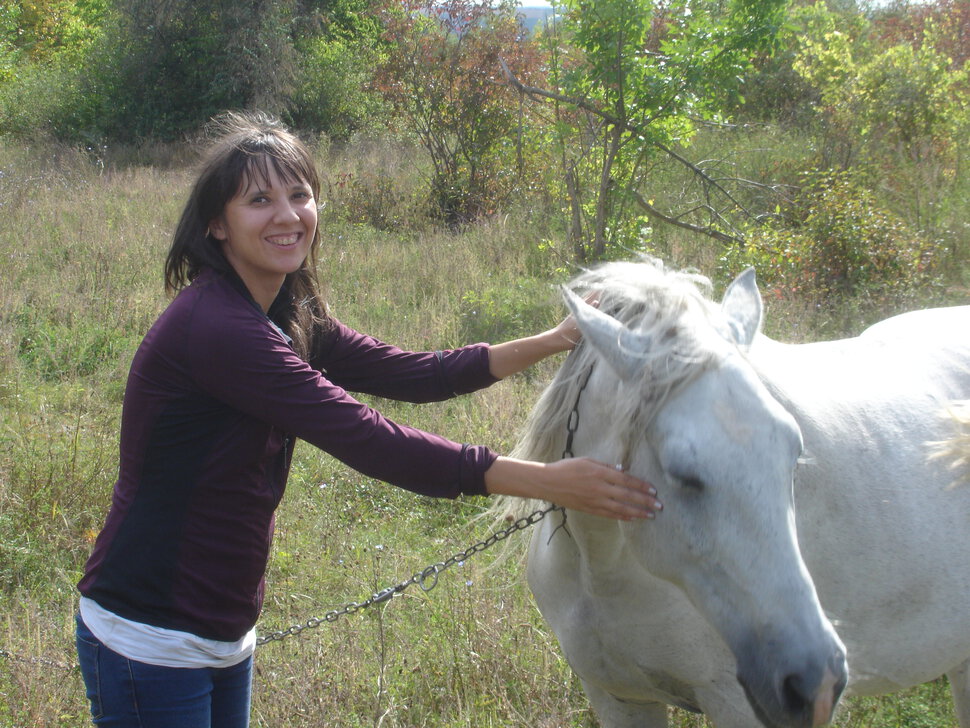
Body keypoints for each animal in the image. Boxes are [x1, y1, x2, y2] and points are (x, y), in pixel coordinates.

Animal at [506, 262, 968, 728]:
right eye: (683, 473)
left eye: (795, 455)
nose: (816, 683)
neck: (598, 573)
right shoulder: (618, 698)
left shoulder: (735, 705)